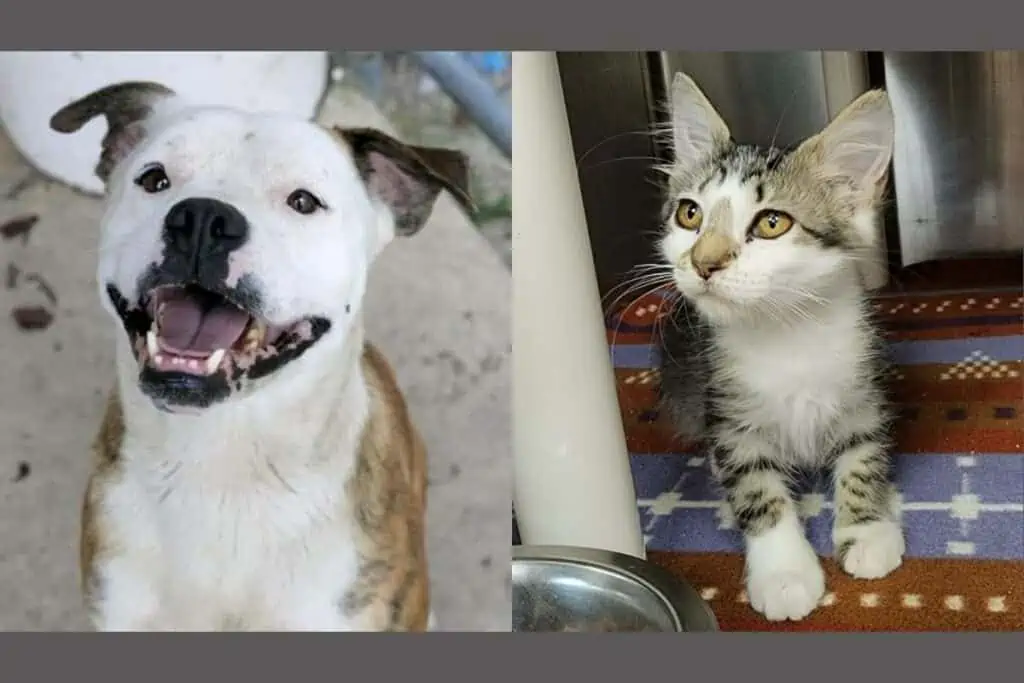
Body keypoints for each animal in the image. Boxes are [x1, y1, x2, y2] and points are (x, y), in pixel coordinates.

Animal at [655, 72, 905, 622]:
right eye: (689, 215)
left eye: (772, 223)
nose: (703, 263)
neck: (787, 331)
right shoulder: (730, 415)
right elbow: (756, 489)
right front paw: (785, 573)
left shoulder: (864, 390)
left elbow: (865, 457)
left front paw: (867, 530)